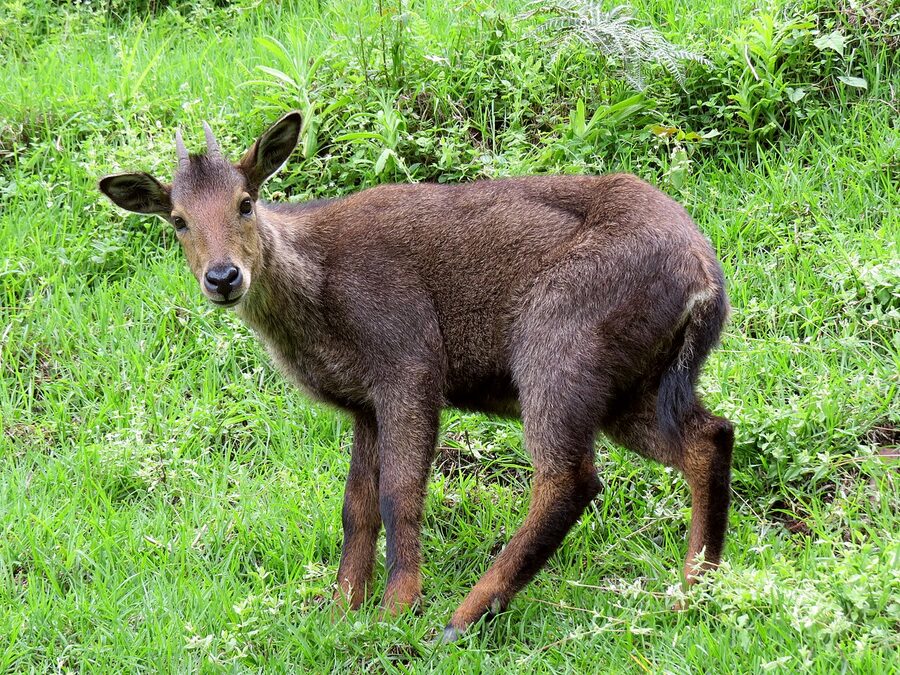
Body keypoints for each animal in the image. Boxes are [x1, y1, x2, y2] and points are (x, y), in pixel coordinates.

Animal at [99, 112, 734, 641]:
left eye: (246, 202)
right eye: (177, 220)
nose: (223, 277)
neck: (318, 303)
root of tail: (705, 278)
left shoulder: (409, 366)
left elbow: (399, 493)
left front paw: (395, 610)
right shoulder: (361, 402)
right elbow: (354, 506)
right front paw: (341, 610)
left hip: (559, 347)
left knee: (571, 477)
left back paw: (462, 618)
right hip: (633, 383)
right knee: (710, 436)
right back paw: (692, 591)